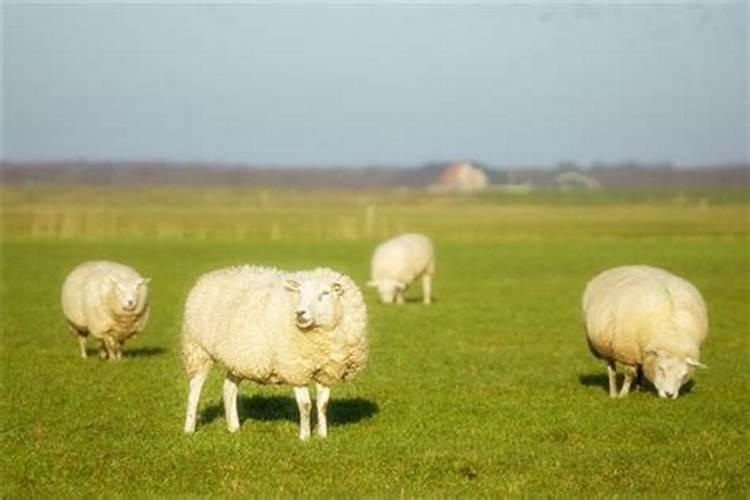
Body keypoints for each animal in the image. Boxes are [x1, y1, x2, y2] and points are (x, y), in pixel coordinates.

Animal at [183, 266, 370, 438]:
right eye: (300, 293)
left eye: (325, 293)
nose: (300, 313)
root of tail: (210, 276)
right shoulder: (295, 369)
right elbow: (305, 405)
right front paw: (304, 437)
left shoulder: (327, 370)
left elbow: (323, 405)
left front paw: (322, 436)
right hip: (198, 349)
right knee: (194, 391)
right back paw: (189, 428)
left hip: (238, 357)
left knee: (229, 389)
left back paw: (234, 427)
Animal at [580, 266, 712, 398]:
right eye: (661, 369)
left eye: (684, 375)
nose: (669, 395)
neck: (671, 333)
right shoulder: (629, 352)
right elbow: (629, 373)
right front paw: (623, 395)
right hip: (608, 347)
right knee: (611, 369)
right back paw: (613, 393)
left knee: (639, 368)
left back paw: (639, 388)